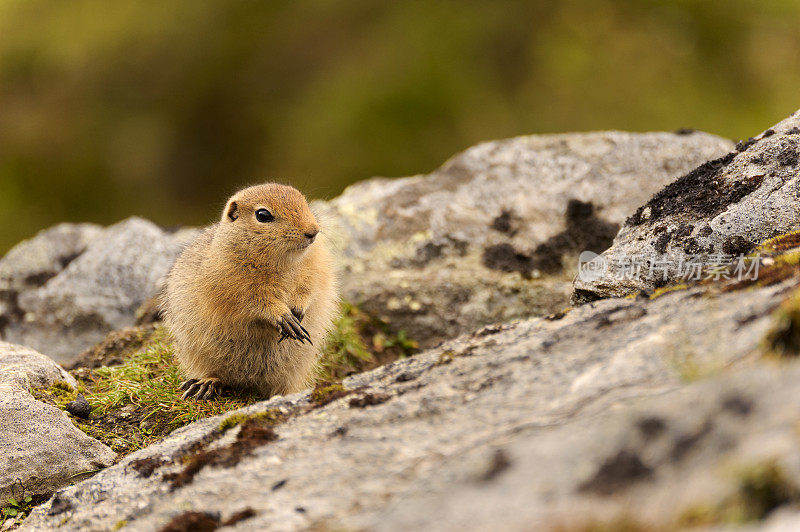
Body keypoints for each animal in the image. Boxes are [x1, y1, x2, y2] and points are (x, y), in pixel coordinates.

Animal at [162, 183, 338, 400]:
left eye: (304, 201)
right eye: (263, 215)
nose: (313, 232)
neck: (283, 262)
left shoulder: (316, 268)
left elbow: (310, 288)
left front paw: (298, 310)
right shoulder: (235, 288)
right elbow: (256, 302)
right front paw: (284, 317)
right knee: (216, 374)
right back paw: (204, 385)